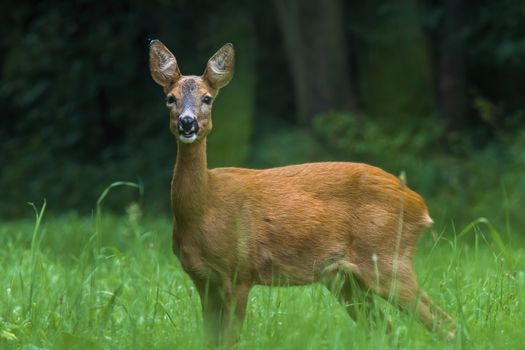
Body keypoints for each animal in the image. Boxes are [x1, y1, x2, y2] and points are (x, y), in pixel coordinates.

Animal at [148, 39, 458, 344]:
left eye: (207, 98)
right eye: (170, 98)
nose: (188, 122)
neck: (204, 207)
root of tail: (421, 206)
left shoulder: (240, 272)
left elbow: (231, 339)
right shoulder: (202, 279)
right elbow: (211, 340)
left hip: (386, 257)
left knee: (444, 323)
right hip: (343, 277)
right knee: (387, 329)